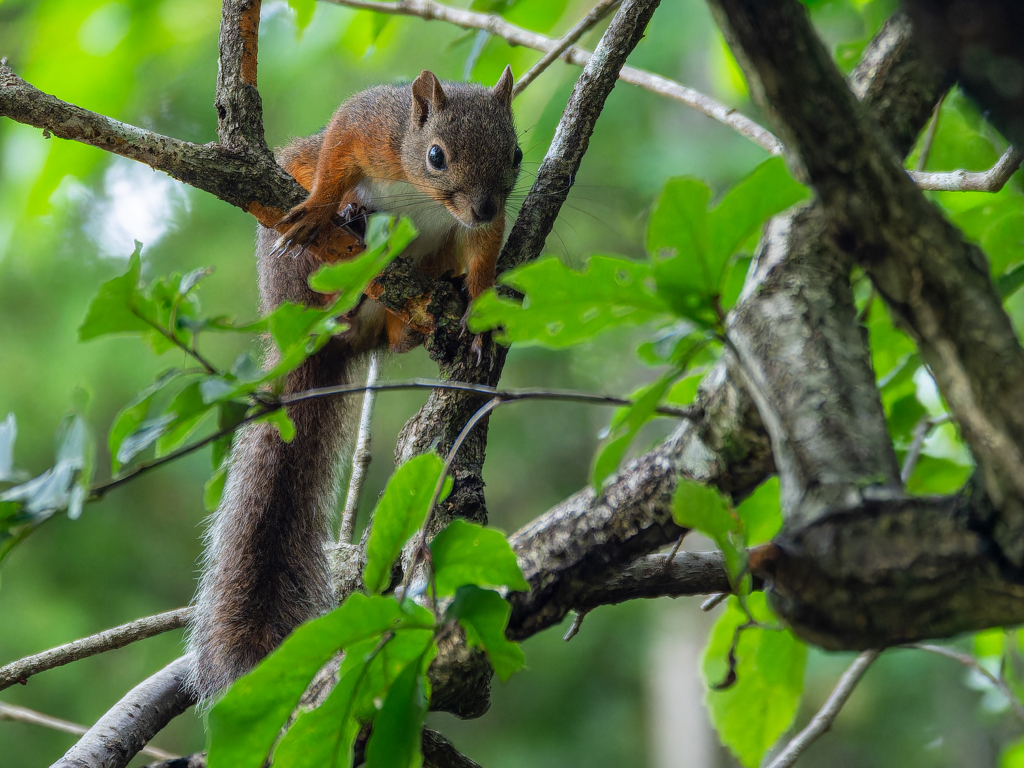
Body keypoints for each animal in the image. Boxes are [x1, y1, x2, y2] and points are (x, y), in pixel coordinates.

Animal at [186, 69, 520, 700]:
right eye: (436, 156)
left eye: (515, 154)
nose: (485, 204)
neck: (426, 195)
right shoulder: (373, 127)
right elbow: (340, 142)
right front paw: (321, 206)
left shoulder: (477, 230)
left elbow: (485, 253)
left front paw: (482, 304)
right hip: (292, 264)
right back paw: (343, 220)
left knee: (400, 324)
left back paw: (415, 321)